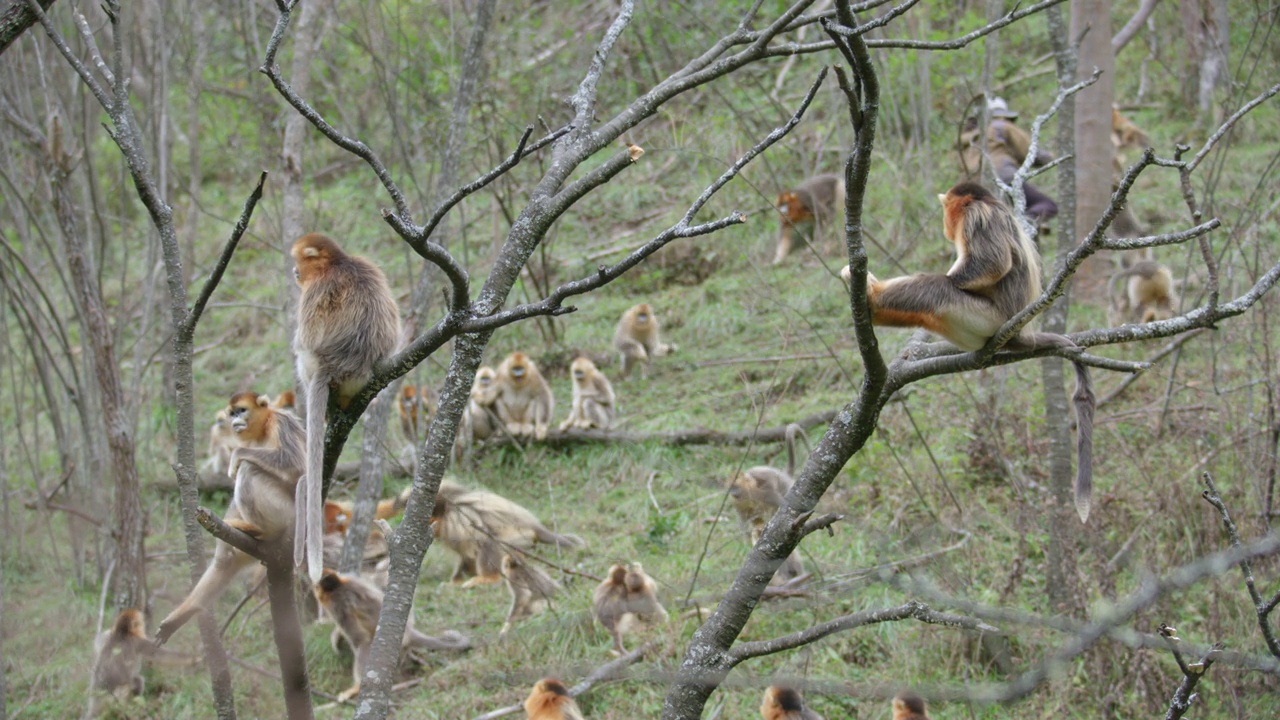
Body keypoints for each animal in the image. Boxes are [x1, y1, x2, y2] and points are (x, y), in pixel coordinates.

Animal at [153, 392, 303, 638]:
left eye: (241, 410)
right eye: (232, 413)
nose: (235, 421)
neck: (262, 431)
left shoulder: (281, 424)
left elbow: (295, 463)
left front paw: (236, 456)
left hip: (286, 512)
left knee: (249, 469)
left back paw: (263, 530)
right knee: (227, 558)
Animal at [312, 566, 473, 702]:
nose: (314, 586)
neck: (340, 585)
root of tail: (409, 631)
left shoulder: (338, 604)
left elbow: (361, 641)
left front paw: (357, 687)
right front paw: (337, 636)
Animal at [839, 181, 1100, 520]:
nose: (944, 226)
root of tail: (1018, 332)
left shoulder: (978, 216)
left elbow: (992, 264)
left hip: (988, 318)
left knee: (936, 289)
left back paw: (874, 299)